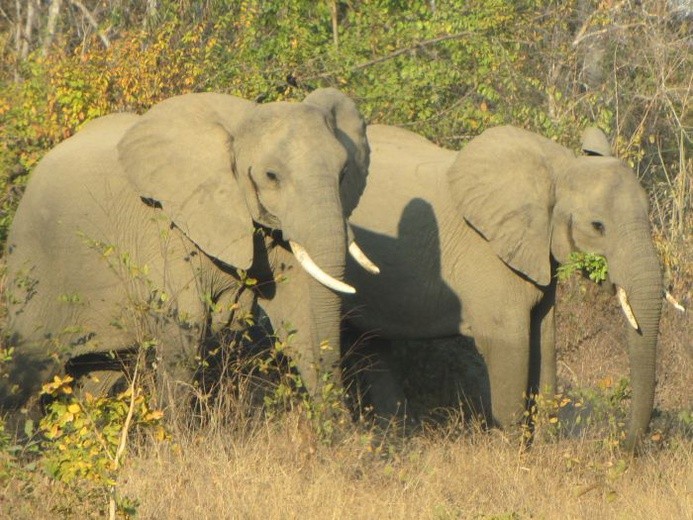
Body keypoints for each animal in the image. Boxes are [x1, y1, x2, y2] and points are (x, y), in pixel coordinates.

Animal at [1, 88, 378, 414]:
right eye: (272, 176)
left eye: (344, 173)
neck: (240, 122)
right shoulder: (163, 225)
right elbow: (185, 328)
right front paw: (176, 441)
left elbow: (302, 316)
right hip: (35, 266)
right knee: (26, 371)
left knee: (99, 377)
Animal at [344, 122, 664, 446]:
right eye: (598, 227)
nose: (625, 445)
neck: (558, 170)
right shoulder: (488, 253)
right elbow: (509, 345)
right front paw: (512, 452)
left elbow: (544, 340)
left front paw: (543, 447)